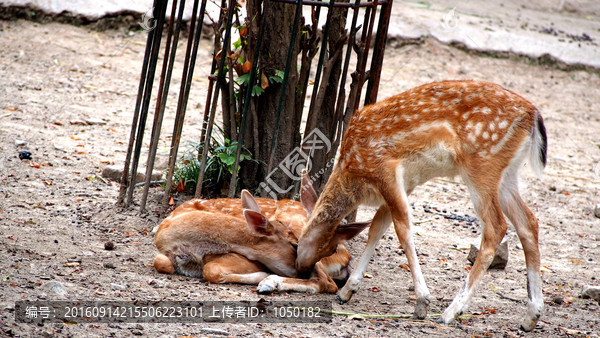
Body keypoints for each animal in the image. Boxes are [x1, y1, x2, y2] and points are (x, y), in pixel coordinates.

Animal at [152, 172, 368, 294]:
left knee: (328, 283)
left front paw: (262, 276)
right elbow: (162, 262)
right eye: (293, 245)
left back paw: (270, 283)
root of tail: (345, 254)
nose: (302, 271)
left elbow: (211, 269)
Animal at [296, 80, 548, 330]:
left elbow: (403, 228)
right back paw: (530, 317)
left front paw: (421, 303)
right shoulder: (405, 184)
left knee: (496, 227)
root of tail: (532, 115)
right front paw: (347, 291)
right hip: (507, 174)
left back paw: (451, 312)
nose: (301, 267)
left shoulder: (384, 170)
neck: (354, 175)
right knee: (529, 222)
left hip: (482, 165)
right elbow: (377, 227)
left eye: (330, 250)